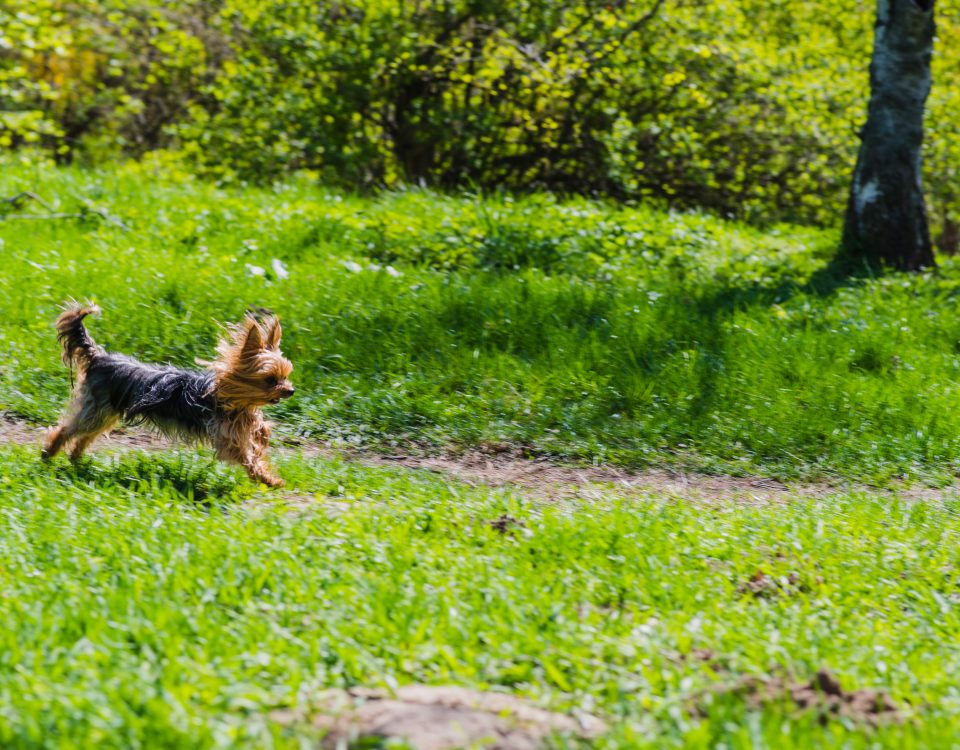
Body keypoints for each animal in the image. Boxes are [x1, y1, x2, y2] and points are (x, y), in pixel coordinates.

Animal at [41, 304, 294, 488]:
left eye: (286, 376)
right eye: (270, 380)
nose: (290, 390)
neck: (231, 397)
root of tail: (98, 357)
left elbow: (259, 430)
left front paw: (261, 435)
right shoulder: (226, 437)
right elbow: (247, 457)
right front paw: (269, 479)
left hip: (107, 413)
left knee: (84, 436)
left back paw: (75, 459)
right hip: (96, 409)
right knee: (67, 429)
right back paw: (48, 453)